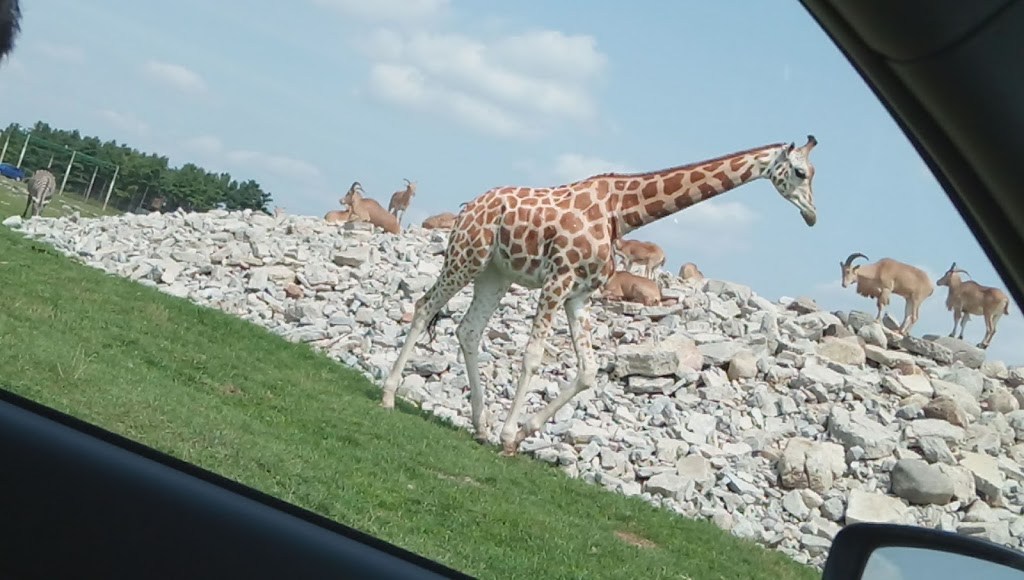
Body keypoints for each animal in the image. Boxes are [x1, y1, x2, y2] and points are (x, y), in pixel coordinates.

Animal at [380, 135, 819, 454]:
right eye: (800, 172)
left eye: (814, 173)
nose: (813, 215)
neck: (621, 211)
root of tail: (469, 206)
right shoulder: (558, 280)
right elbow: (533, 357)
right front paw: (508, 437)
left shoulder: (579, 294)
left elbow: (589, 370)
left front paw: (520, 433)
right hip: (467, 256)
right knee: (424, 306)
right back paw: (389, 396)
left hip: (495, 272)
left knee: (468, 330)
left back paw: (480, 425)